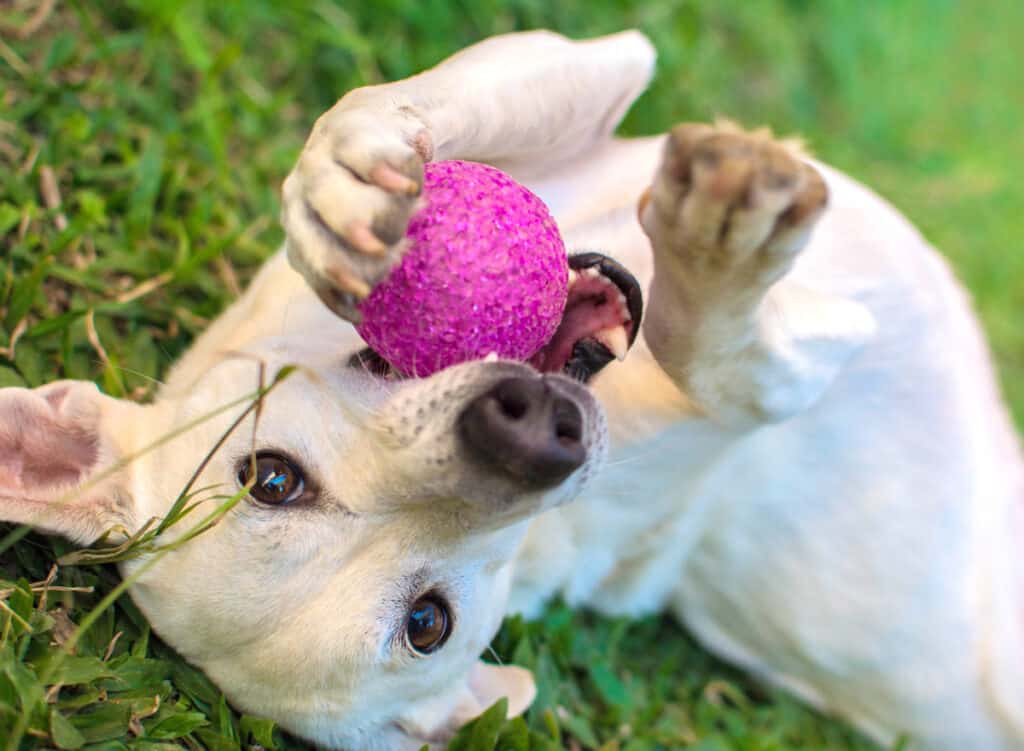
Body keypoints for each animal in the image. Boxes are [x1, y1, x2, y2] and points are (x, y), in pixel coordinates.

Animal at [2, 29, 1024, 749]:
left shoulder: (585, 75)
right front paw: (721, 251)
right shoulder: (779, 371)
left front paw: (342, 177)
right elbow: (716, 350)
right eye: (428, 623)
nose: (530, 430)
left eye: (272, 478)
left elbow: (382, 107)